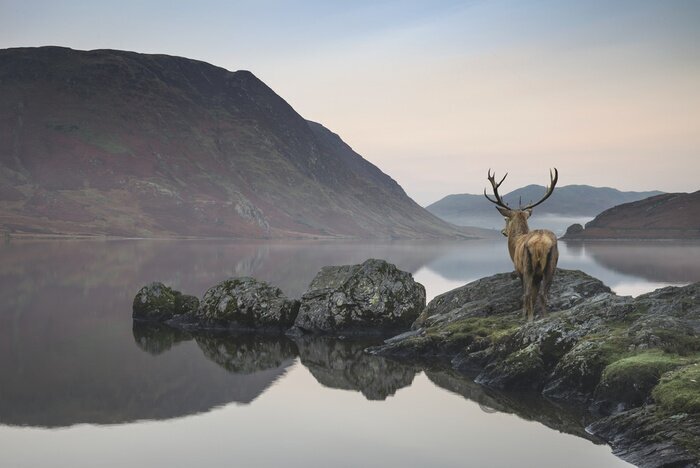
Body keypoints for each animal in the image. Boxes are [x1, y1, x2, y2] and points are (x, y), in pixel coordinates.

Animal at [484, 169, 560, 322]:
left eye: (506, 219)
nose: (503, 231)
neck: (515, 245)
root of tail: (541, 243)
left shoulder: (518, 270)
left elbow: (525, 294)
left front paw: (524, 314)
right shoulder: (538, 276)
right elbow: (535, 295)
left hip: (527, 266)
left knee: (527, 294)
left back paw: (529, 320)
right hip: (551, 265)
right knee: (543, 294)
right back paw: (545, 316)